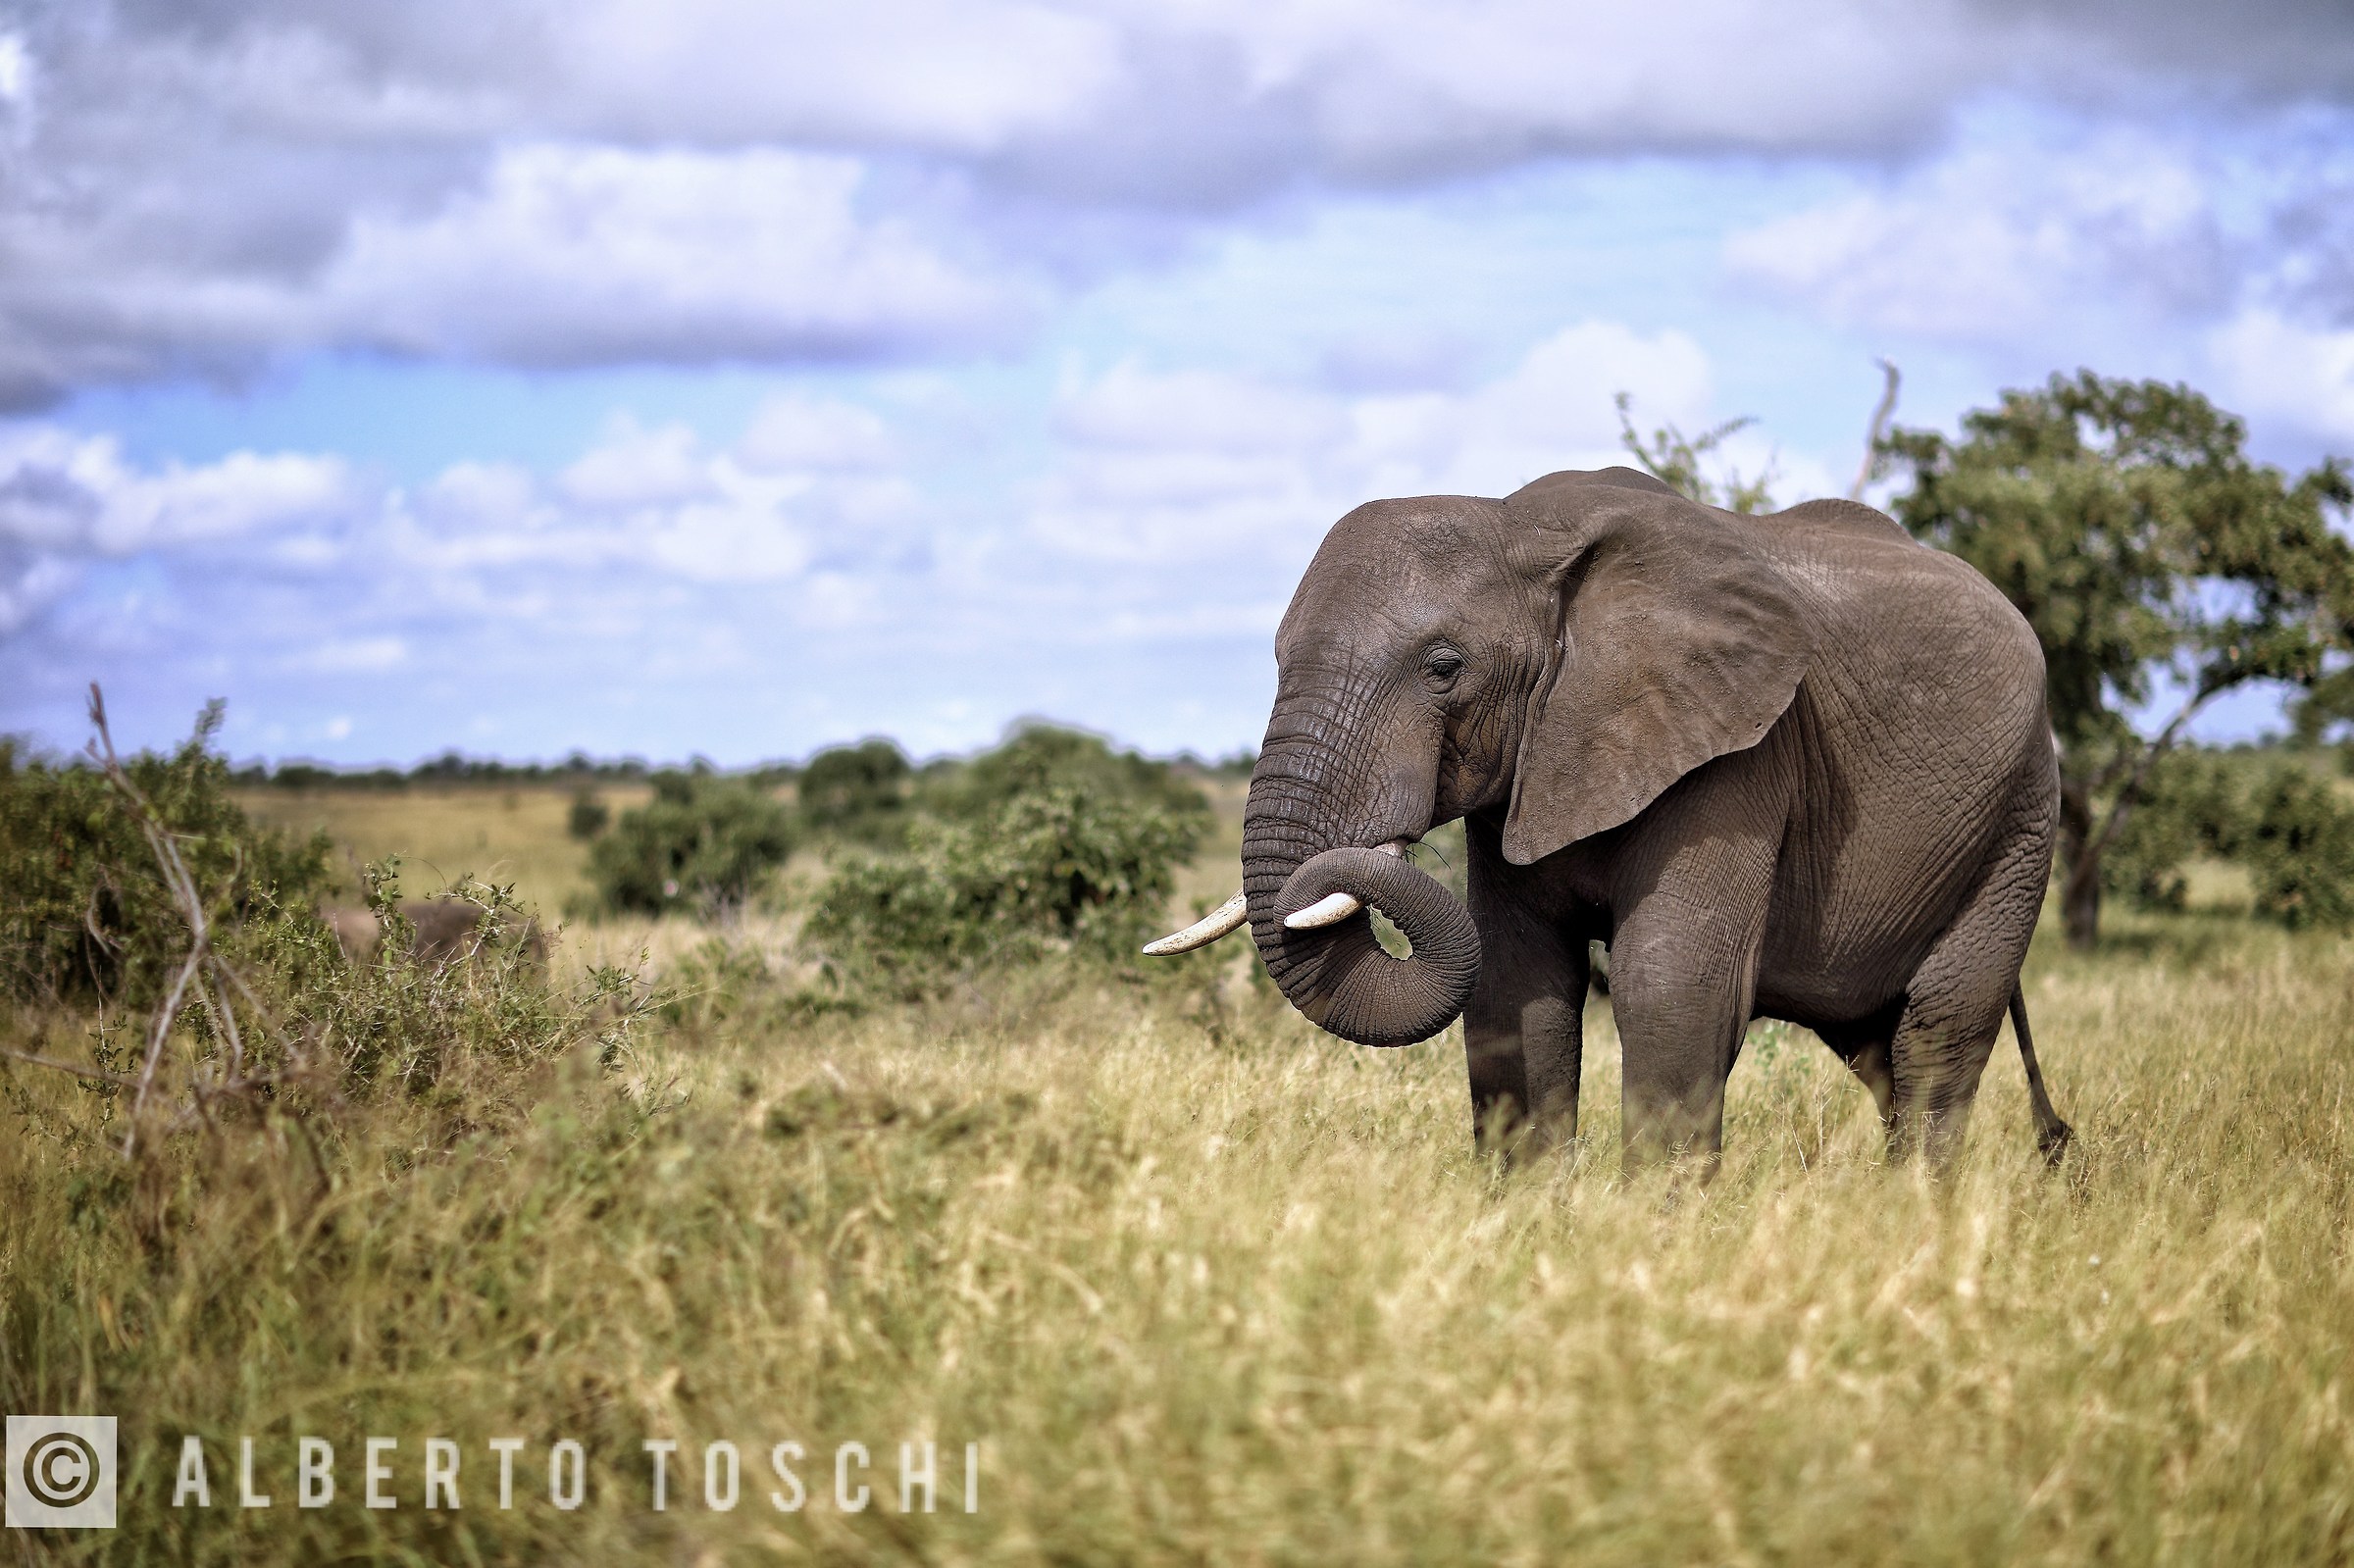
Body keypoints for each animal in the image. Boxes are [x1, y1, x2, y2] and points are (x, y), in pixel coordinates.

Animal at [1147, 466, 2072, 1172]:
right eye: (1274, 658)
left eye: (1444, 667)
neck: (1521, 527)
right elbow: (1514, 985)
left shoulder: (1741, 750)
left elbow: (1670, 983)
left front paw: (1654, 1237)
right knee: (1881, 1051)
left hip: (2022, 817)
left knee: (1940, 1031)